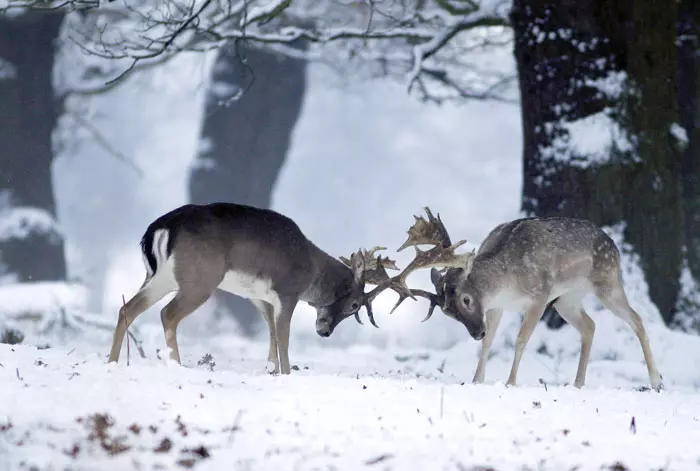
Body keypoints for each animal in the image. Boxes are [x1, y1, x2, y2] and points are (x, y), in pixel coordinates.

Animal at [109, 203, 408, 376]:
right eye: (355, 305)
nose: (325, 332)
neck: (312, 270)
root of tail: (159, 229)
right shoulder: (287, 291)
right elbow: (284, 335)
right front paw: (286, 372)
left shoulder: (257, 296)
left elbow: (272, 330)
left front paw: (271, 369)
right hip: (200, 278)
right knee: (167, 313)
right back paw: (176, 364)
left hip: (160, 277)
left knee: (127, 308)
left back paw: (111, 362)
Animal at [370, 208, 664, 392]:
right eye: (447, 312)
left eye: (466, 299)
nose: (475, 332)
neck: (506, 282)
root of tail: (614, 245)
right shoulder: (496, 307)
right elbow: (489, 343)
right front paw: (477, 379)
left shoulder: (539, 297)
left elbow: (521, 340)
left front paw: (511, 382)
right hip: (566, 299)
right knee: (590, 325)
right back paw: (578, 383)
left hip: (607, 281)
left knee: (637, 319)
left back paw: (656, 380)